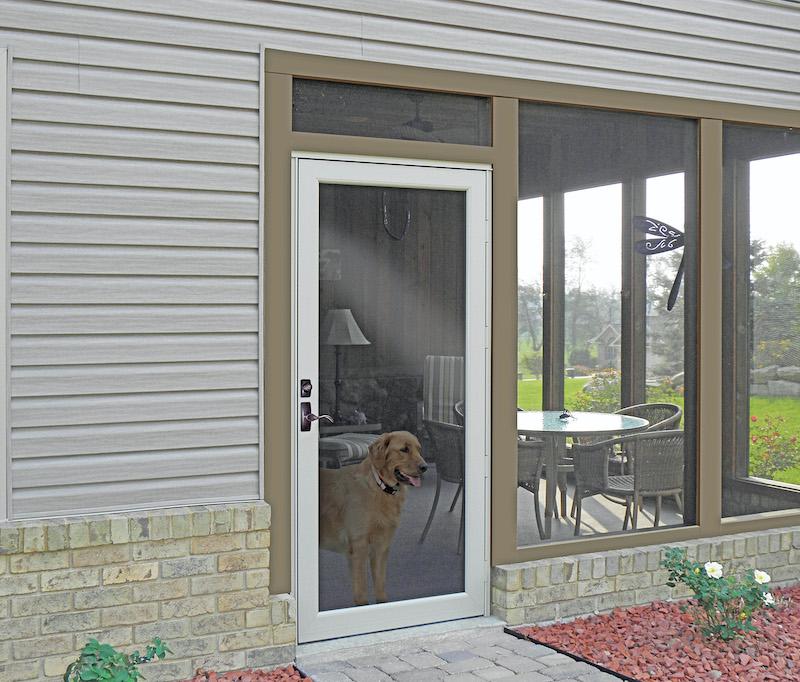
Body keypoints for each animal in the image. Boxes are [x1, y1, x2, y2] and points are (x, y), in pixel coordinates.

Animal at [318, 432, 428, 604]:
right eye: (404, 449)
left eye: (419, 449)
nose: (425, 467)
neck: (380, 487)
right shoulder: (358, 547)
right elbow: (361, 593)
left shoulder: (381, 546)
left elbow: (380, 587)